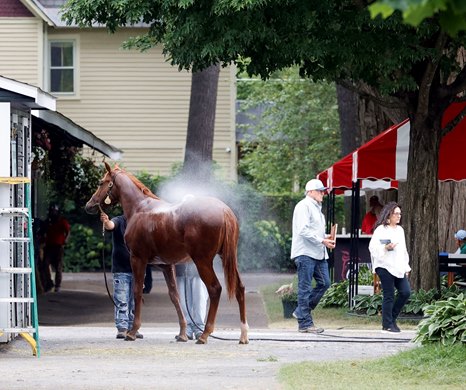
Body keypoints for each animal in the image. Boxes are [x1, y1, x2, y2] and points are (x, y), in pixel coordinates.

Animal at [86, 162, 249, 344]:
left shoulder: (138, 259)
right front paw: (182, 334)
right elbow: (175, 296)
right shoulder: (166, 265)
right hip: (228, 258)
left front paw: (132, 332)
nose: (89, 205)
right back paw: (243, 335)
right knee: (240, 288)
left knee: (215, 289)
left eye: (101, 182)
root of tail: (224, 211)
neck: (140, 208)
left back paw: (205, 334)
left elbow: (137, 291)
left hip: (203, 261)